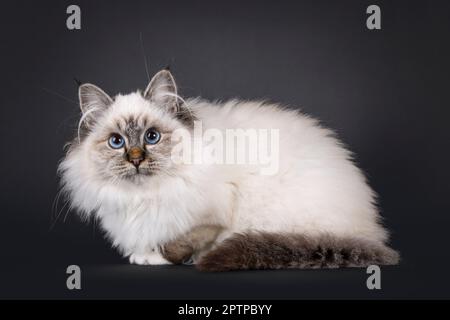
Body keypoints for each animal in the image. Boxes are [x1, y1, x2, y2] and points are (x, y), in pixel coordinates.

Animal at [58, 67, 400, 270]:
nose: (136, 158)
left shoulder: (214, 213)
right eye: (116, 142)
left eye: (152, 137)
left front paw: (153, 256)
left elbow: (182, 241)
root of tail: (371, 230)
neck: (145, 195)